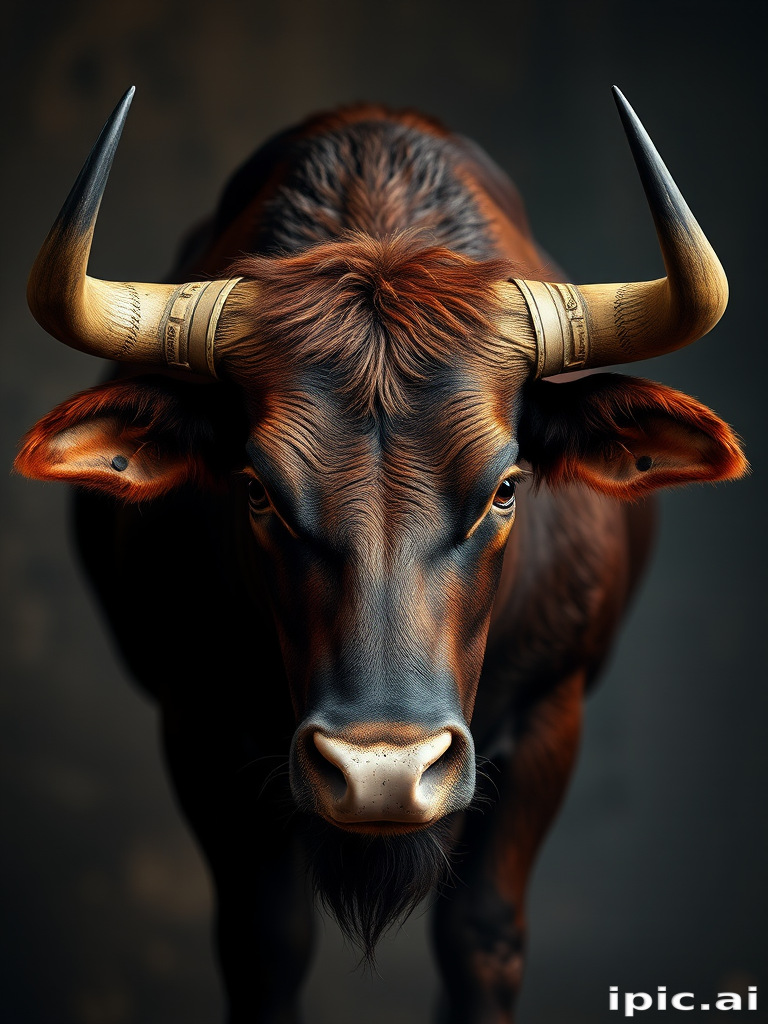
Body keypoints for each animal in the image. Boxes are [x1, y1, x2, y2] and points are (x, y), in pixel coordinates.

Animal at [15, 86, 746, 1023]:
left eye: (506, 485)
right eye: (256, 487)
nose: (383, 774)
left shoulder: (551, 714)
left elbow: (480, 938)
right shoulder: (199, 720)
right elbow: (264, 941)